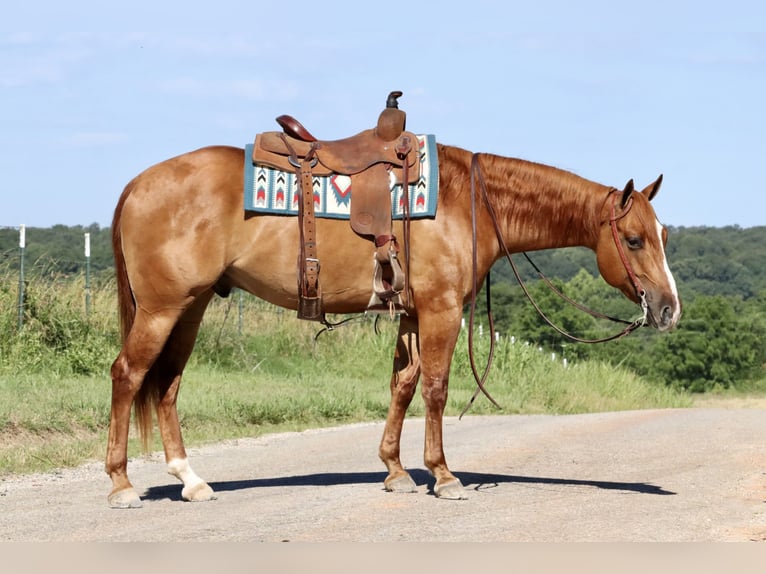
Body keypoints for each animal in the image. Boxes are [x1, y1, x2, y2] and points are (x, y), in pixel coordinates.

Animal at [105, 130, 680, 508]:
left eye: (664, 236)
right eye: (634, 239)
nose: (668, 308)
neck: (469, 201)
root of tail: (136, 183)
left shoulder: (412, 314)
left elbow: (402, 386)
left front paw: (395, 470)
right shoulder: (442, 310)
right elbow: (436, 388)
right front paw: (443, 476)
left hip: (192, 306)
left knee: (167, 385)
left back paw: (191, 480)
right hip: (162, 309)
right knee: (128, 376)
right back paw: (121, 484)